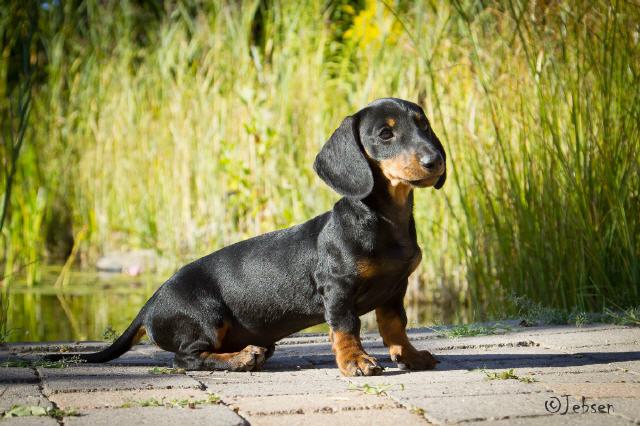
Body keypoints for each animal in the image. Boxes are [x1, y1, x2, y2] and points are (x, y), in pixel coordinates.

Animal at [46, 98, 446, 376]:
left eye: (424, 127)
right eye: (385, 135)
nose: (435, 161)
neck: (383, 219)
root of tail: (150, 303)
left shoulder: (395, 289)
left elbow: (395, 326)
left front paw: (410, 356)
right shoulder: (337, 288)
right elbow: (346, 327)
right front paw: (356, 362)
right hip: (207, 317)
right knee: (186, 358)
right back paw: (242, 358)